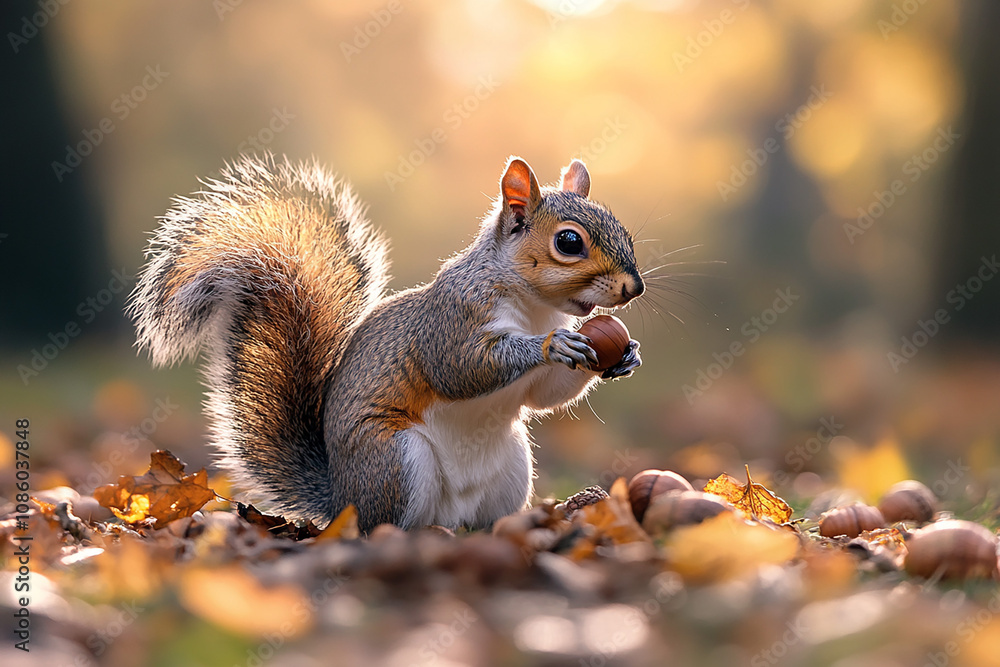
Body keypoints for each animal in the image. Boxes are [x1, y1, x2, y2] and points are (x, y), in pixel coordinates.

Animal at [129, 153, 644, 533]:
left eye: (625, 231)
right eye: (569, 242)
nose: (633, 288)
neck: (536, 306)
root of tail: (341, 500)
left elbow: (545, 395)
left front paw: (622, 356)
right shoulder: (451, 320)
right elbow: (460, 369)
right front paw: (552, 345)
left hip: (512, 468)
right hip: (395, 461)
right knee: (386, 525)